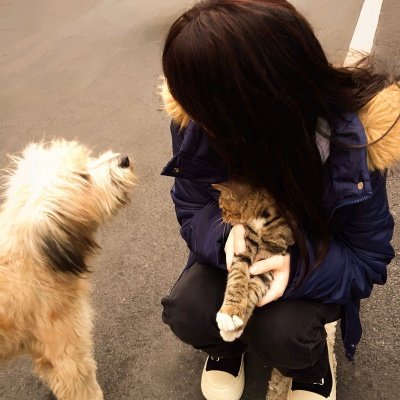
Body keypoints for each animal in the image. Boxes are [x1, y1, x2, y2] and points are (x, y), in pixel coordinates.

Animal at [212, 179, 295, 341]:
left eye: (222, 207)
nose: (223, 218)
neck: (261, 217)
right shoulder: (246, 243)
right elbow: (238, 274)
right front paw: (230, 312)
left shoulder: (272, 252)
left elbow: (255, 286)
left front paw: (235, 321)